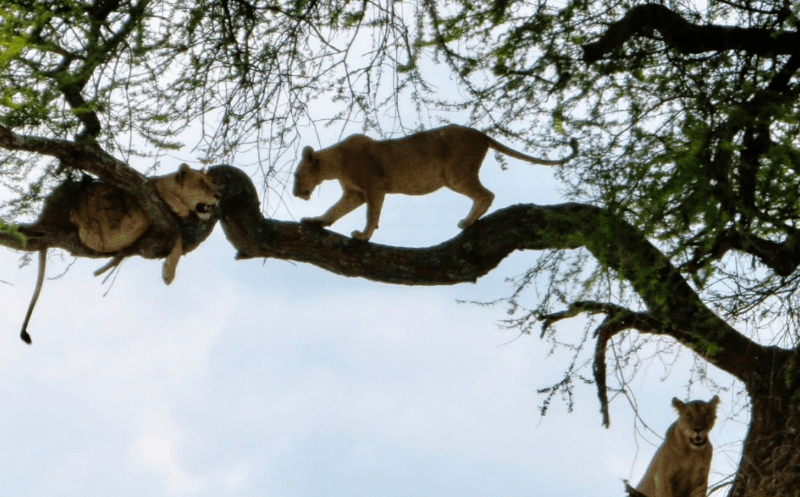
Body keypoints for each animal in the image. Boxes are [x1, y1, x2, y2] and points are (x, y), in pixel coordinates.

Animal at [18, 163, 220, 344]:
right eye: (202, 182)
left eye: (210, 182)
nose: (219, 195)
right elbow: (150, 224)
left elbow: (178, 239)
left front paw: (169, 272)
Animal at [293, 124, 578, 241]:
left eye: (296, 176)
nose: (295, 193)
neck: (335, 163)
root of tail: (482, 135)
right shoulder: (355, 193)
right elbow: (335, 210)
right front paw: (316, 221)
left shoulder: (374, 187)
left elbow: (372, 214)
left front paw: (363, 236)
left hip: (455, 174)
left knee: (487, 194)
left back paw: (468, 222)